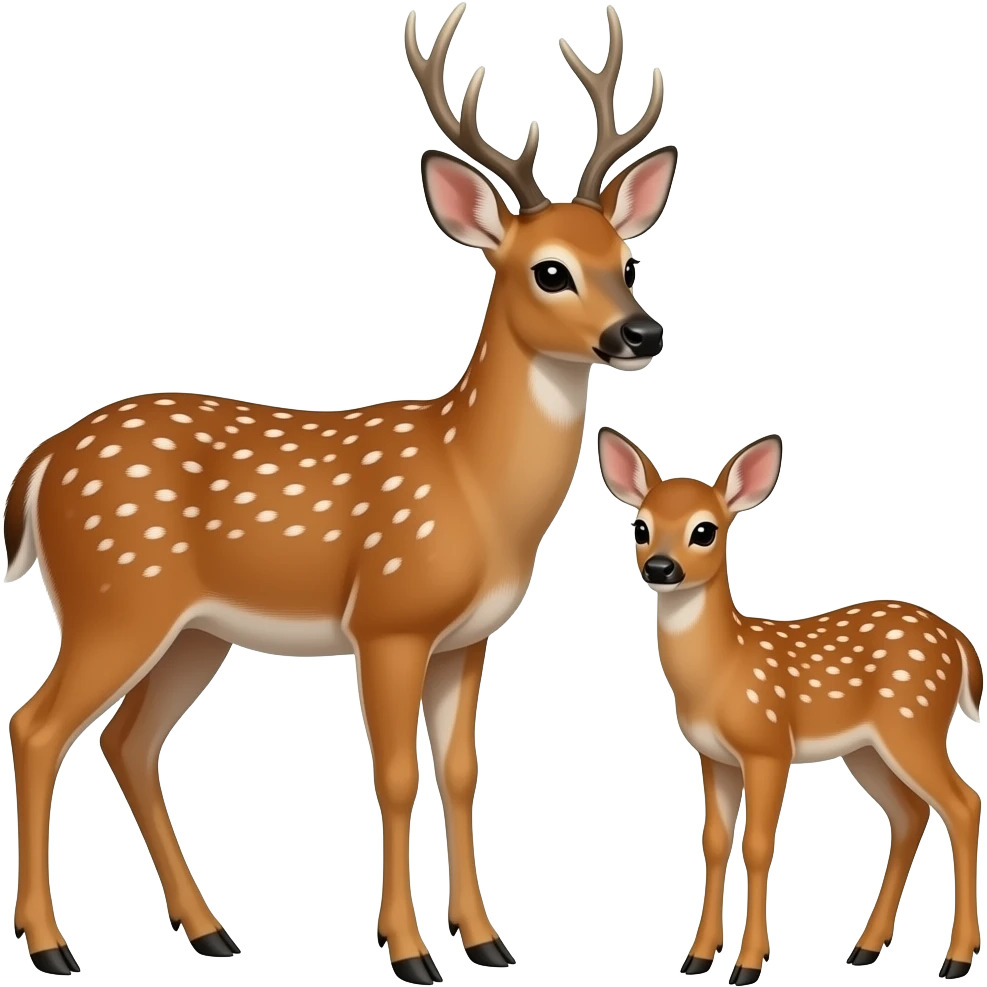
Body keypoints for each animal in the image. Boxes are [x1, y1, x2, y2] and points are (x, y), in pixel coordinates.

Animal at [4, 5, 677, 981]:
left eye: (628, 258)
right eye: (549, 269)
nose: (640, 332)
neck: (474, 487)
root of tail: (42, 461)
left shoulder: (467, 638)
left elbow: (462, 773)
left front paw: (486, 939)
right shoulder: (388, 618)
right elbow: (394, 775)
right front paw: (410, 951)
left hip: (192, 629)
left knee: (128, 740)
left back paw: (211, 930)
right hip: (114, 597)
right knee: (38, 725)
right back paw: (53, 944)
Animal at [596, 428, 984, 984]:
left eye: (705, 530)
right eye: (640, 526)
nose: (660, 567)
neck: (723, 670)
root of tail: (959, 642)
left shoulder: (768, 746)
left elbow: (758, 845)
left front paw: (748, 964)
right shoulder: (712, 756)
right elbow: (715, 842)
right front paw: (698, 957)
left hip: (914, 722)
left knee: (963, 804)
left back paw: (956, 958)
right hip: (867, 750)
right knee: (910, 815)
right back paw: (865, 948)